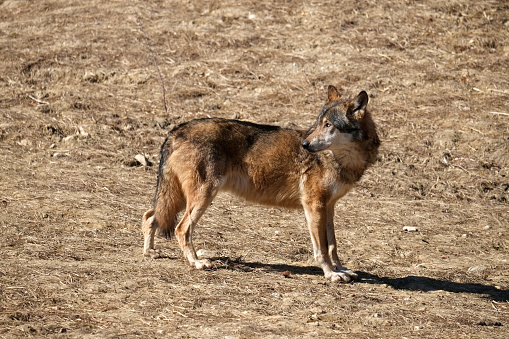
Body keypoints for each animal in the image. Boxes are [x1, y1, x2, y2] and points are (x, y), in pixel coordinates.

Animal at [141, 86, 380, 282]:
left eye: (328, 125)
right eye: (318, 123)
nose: (304, 144)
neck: (341, 160)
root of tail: (176, 130)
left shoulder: (329, 206)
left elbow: (333, 245)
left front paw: (341, 269)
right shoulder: (314, 206)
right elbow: (321, 249)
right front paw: (330, 274)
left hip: (182, 198)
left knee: (150, 216)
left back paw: (150, 252)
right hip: (202, 197)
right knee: (181, 229)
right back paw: (197, 262)